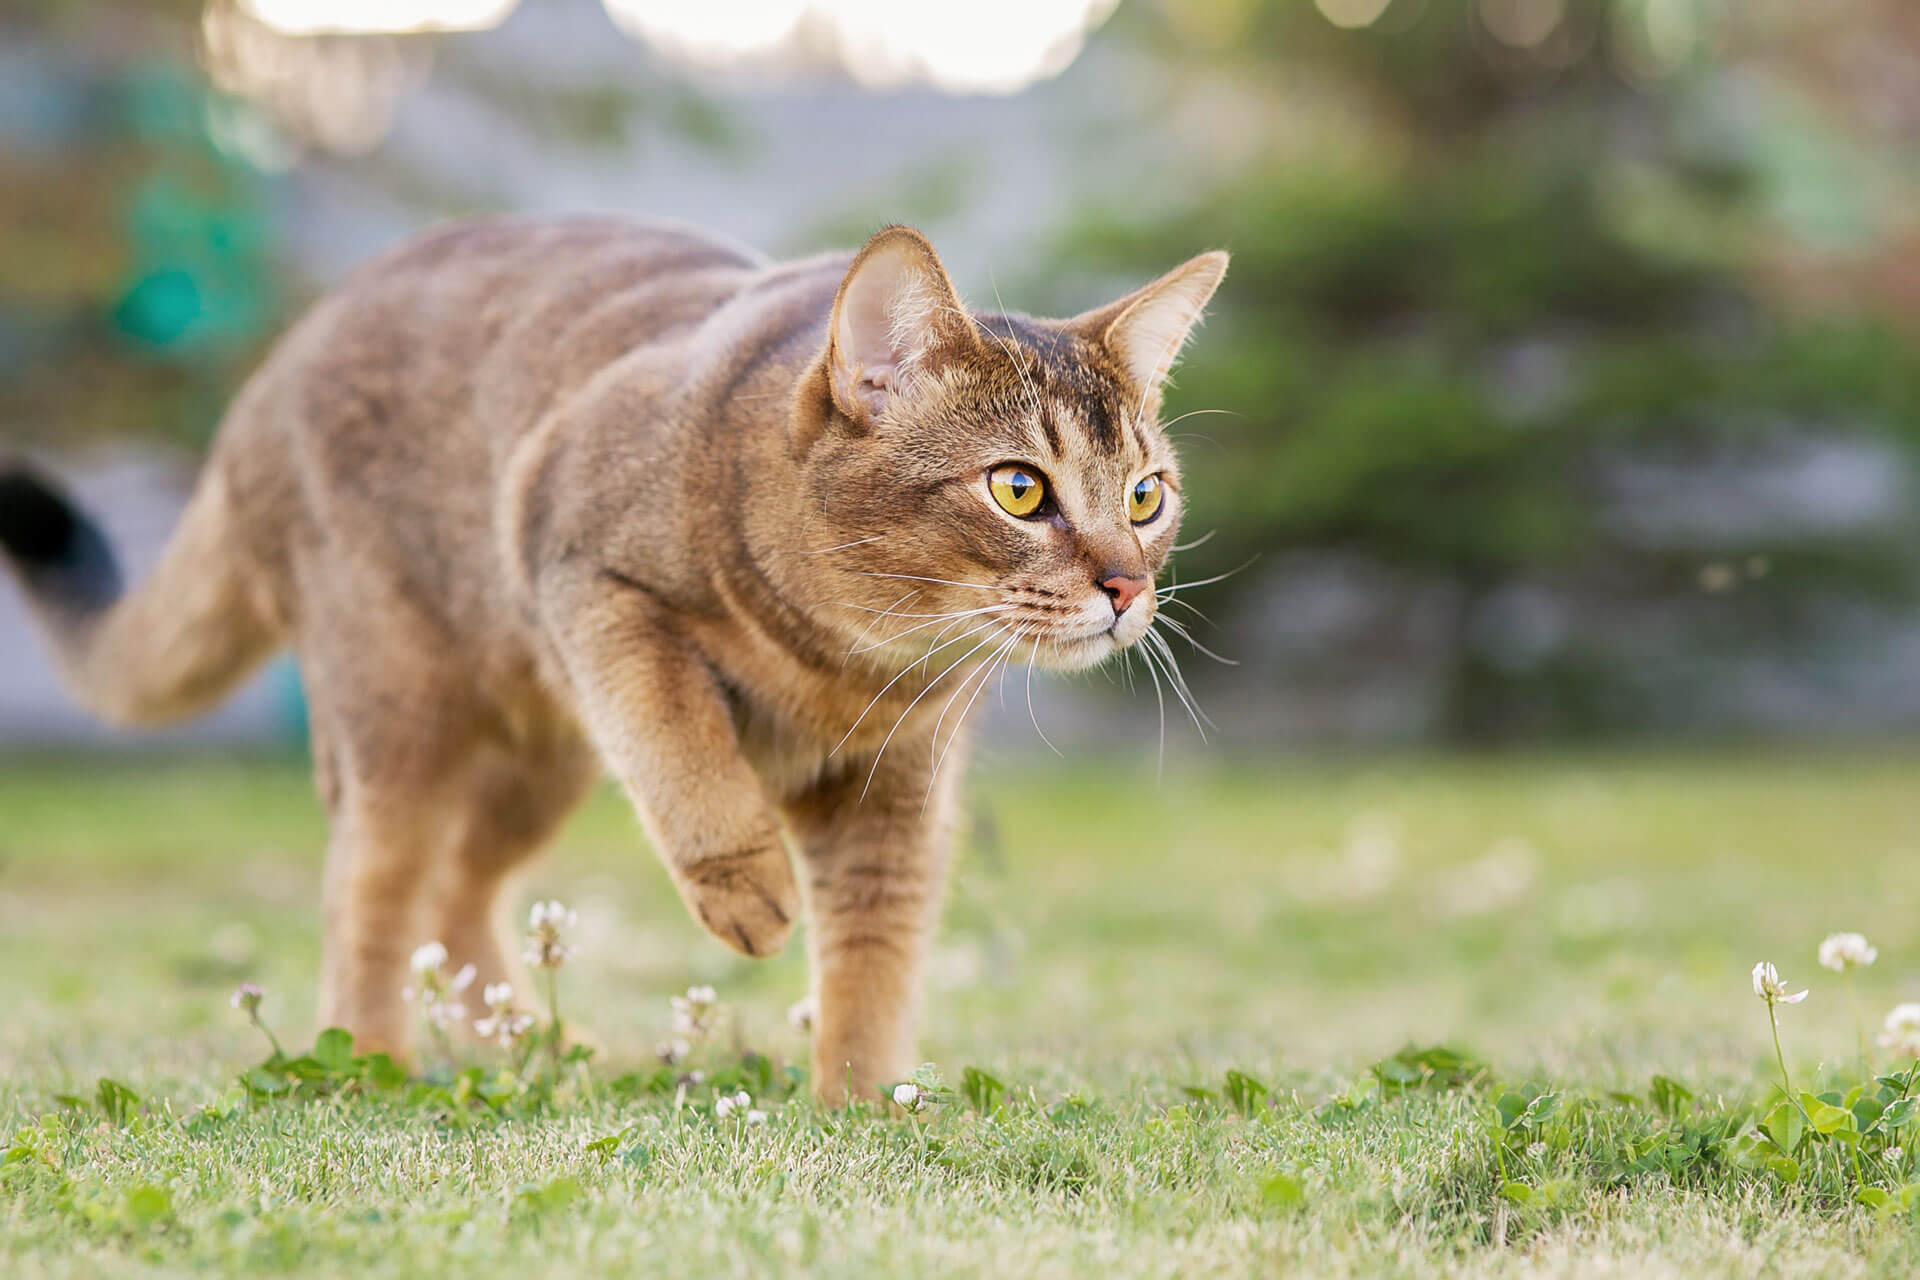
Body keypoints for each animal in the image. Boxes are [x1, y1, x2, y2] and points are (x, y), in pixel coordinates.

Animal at [0, 217, 1221, 1105]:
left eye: (1145, 495)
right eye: (1018, 488)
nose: (1127, 587)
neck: (842, 665)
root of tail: (273, 368)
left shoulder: (898, 793)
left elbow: (876, 953)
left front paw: (866, 1105)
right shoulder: (583, 569)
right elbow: (684, 743)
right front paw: (745, 888)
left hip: (545, 754)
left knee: (459, 892)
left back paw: (539, 1047)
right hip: (400, 708)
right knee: (374, 890)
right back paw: (375, 1061)